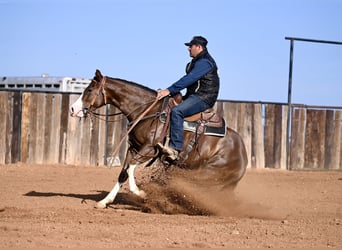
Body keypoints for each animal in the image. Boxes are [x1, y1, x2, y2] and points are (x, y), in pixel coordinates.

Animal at [69, 69, 247, 209]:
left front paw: (140, 192)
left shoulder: (149, 149)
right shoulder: (133, 148)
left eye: (89, 90)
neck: (148, 111)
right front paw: (105, 201)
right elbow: (123, 173)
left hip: (207, 174)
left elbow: (131, 167)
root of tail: (243, 154)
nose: (72, 109)